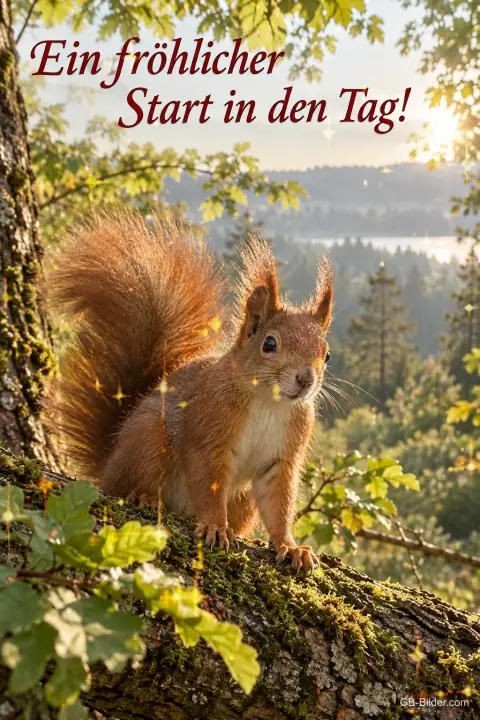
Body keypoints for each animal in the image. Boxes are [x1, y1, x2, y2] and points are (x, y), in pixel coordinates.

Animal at [47, 209, 333, 571]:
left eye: (327, 354)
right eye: (270, 344)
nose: (306, 379)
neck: (270, 403)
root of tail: (108, 463)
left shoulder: (282, 456)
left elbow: (278, 506)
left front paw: (290, 546)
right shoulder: (208, 429)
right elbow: (207, 482)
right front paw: (214, 526)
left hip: (242, 502)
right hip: (149, 440)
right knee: (123, 484)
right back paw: (140, 495)